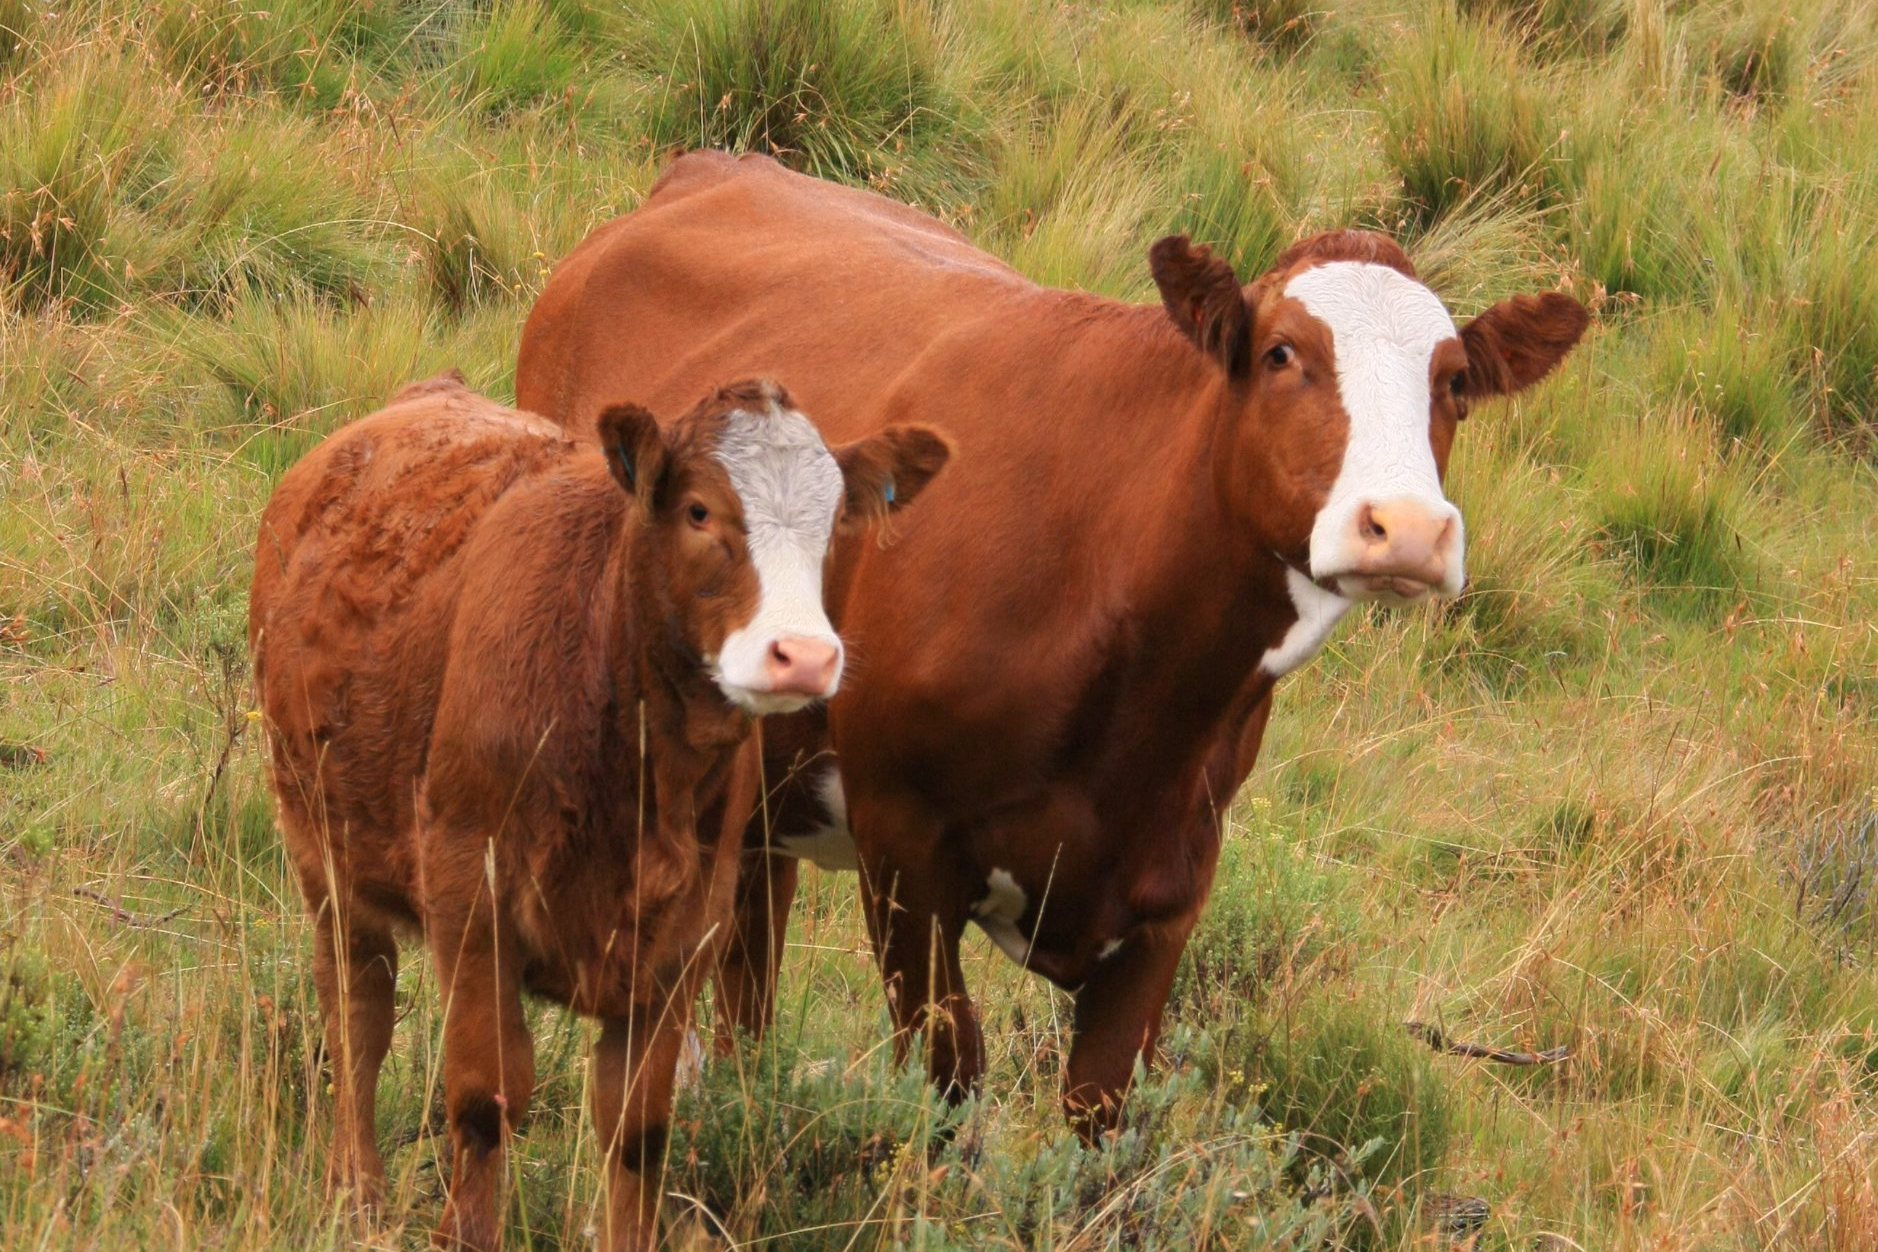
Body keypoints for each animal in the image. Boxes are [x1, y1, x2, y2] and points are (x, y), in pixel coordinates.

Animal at [247, 375, 946, 1252]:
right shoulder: (468, 894)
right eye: (699, 511)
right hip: (325, 857)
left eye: (832, 526)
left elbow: (636, 1126)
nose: (805, 657)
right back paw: (357, 1190)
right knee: (357, 1017)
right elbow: (485, 1097)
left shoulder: (689, 932)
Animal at [514, 152, 1585, 1141]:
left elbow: (1098, 1114)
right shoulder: (904, 850)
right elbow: (948, 1080)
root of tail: (711, 165)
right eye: (1283, 352)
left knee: (748, 958)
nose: (1406, 529)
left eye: (1454, 381)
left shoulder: (1170, 886)